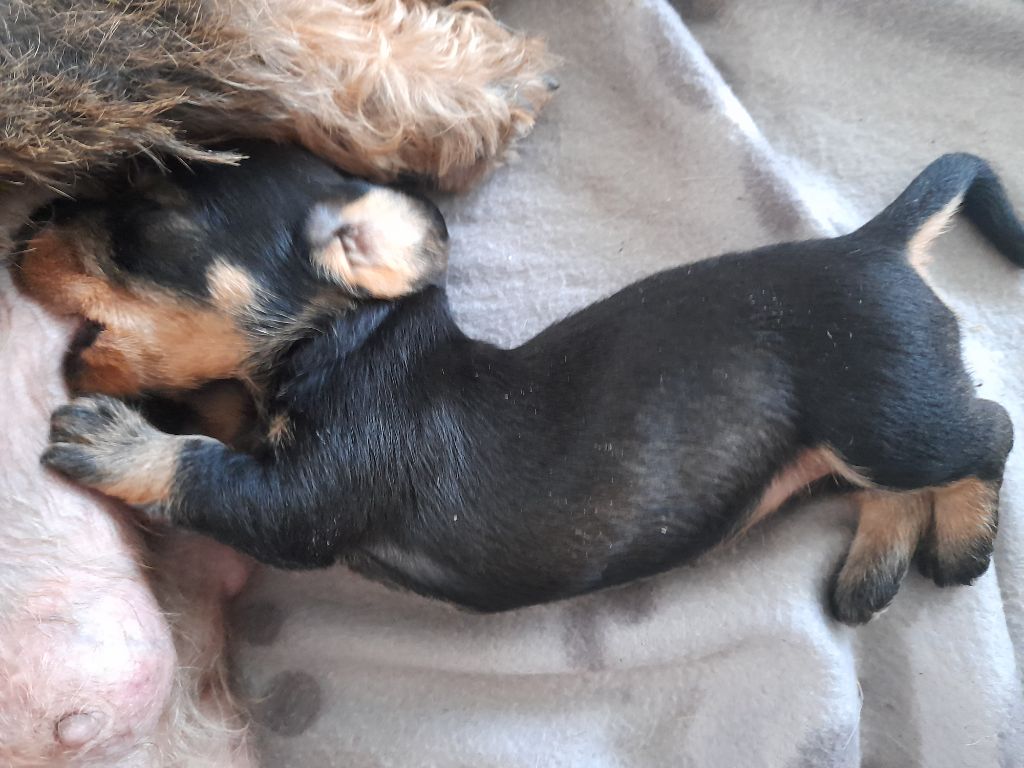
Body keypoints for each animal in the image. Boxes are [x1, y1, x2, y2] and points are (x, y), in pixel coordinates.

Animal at [16, 142, 1022, 625]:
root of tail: (873, 245)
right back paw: (873, 569)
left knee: (988, 428)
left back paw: (964, 541)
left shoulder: (304, 498)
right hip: (865, 431)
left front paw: (112, 437)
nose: (21, 229)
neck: (356, 341)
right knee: (897, 487)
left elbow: (201, 468)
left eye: (146, 224)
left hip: (885, 414)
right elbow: (218, 412)